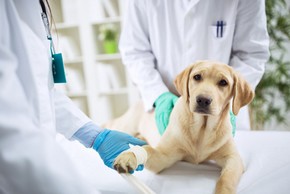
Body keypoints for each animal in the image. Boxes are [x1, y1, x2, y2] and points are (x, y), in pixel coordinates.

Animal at [110, 60, 253, 194]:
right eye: (197, 77)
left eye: (223, 82)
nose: (203, 100)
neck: (202, 129)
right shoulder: (163, 157)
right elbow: (147, 149)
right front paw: (128, 156)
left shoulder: (234, 159)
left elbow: (226, 179)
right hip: (125, 126)